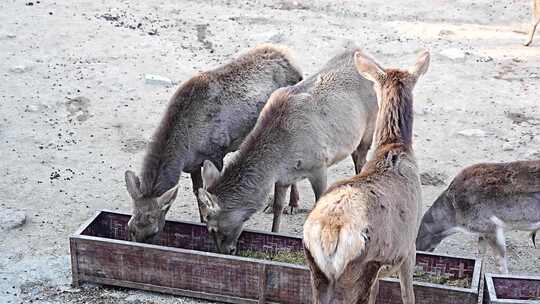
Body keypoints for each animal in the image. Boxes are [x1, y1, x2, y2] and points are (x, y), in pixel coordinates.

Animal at [122, 44, 304, 243]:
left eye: (153, 232)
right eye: (130, 228)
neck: (184, 149)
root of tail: (295, 63)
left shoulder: (217, 152)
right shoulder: (193, 164)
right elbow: (198, 192)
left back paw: (293, 204)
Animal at [196, 47, 378, 255]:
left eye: (212, 228)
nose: (225, 251)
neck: (279, 159)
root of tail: (371, 59)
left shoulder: (319, 164)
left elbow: (318, 204)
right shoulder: (283, 177)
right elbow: (277, 207)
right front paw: (275, 234)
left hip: (369, 126)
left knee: (361, 160)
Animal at [302, 50, 428, 304]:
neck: (394, 148)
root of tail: (331, 232)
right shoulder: (409, 247)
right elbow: (407, 294)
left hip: (316, 270)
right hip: (359, 271)